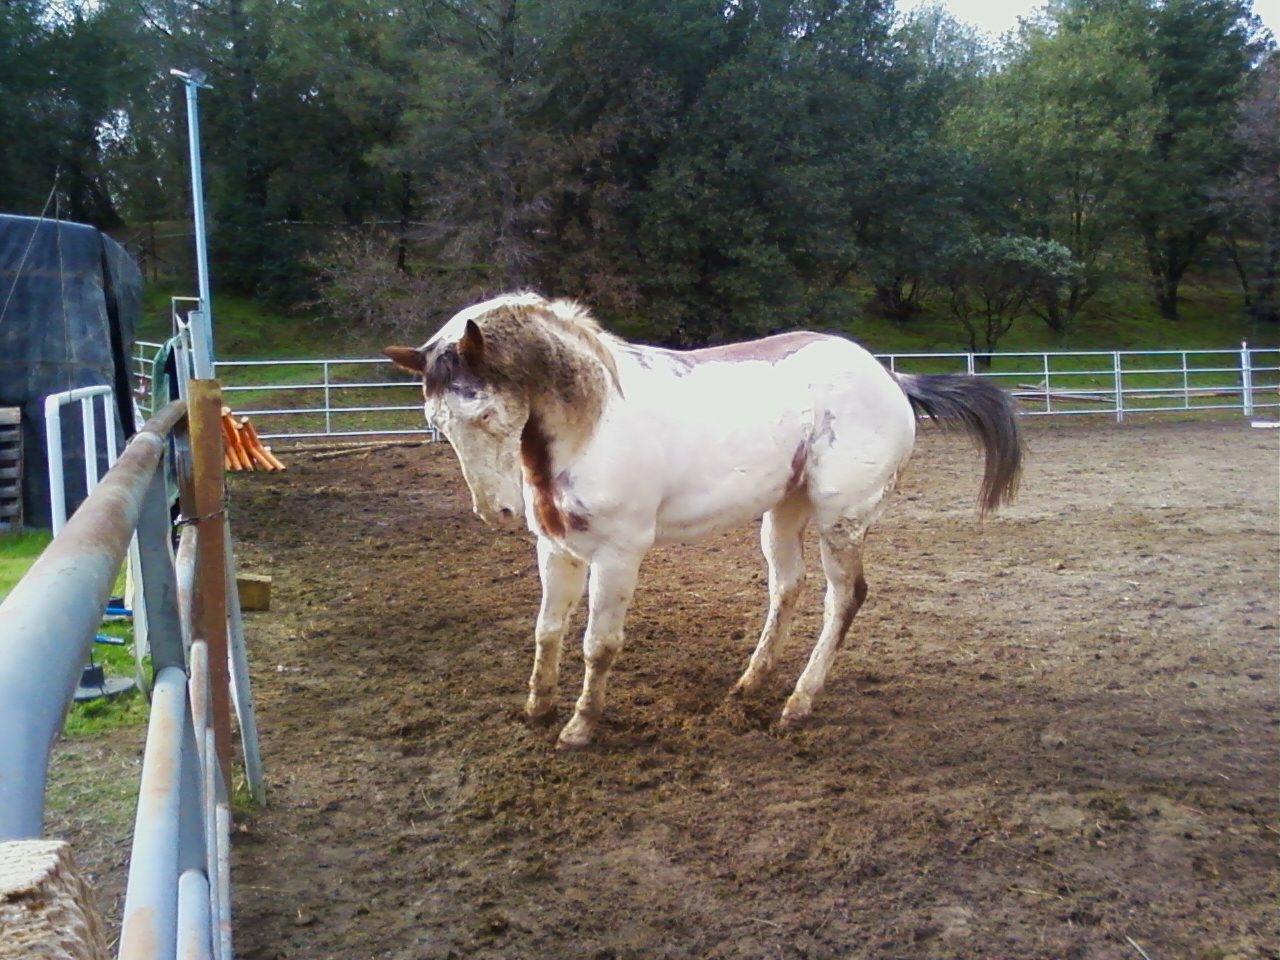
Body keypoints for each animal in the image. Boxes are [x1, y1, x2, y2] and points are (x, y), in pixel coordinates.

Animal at [385, 292, 1023, 749]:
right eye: (436, 421)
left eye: (486, 413)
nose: (495, 512)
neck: (593, 422)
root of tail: (891, 377)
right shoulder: (556, 548)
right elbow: (547, 631)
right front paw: (537, 708)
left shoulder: (618, 557)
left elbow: (599, 644)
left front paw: (580, 728)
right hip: (782, 514)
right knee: (787, 589)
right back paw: (750, 684)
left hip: (841, 519)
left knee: (844, 599)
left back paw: (798, 704)